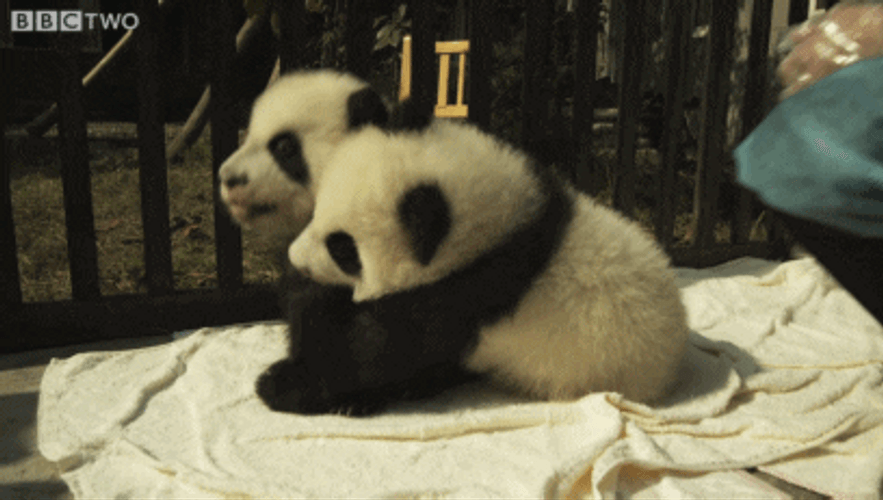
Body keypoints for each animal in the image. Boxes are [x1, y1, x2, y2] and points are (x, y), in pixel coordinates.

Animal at [287, 115, 689, 404]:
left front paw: (288, 381)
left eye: (343, 249)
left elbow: (377, 350)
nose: (294, 258)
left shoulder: (472, 295)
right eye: (315, 211)